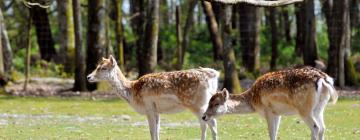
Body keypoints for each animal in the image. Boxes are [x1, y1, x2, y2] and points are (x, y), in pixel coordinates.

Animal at [88, 55, 219, 140]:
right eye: (97, 66)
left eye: (103, 68)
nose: (88, 77)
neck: (132, 92)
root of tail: (213, 75)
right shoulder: (157, 111)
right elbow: (157, 131)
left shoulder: (149, 107)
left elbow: (152, 131)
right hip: (203, 104)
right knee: (206, 124)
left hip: (197, 104)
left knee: (210, 123)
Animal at [202, 66, 338, 140]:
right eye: (208, 101)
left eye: (216, 103)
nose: (204, 116)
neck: (253, 99)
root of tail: (323, 79)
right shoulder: (277, 113)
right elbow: (275, 134)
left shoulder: (268, 111)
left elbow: (271, 134)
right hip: (319, 108)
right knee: (323, 128)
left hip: (304, 108)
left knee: (316, 127)